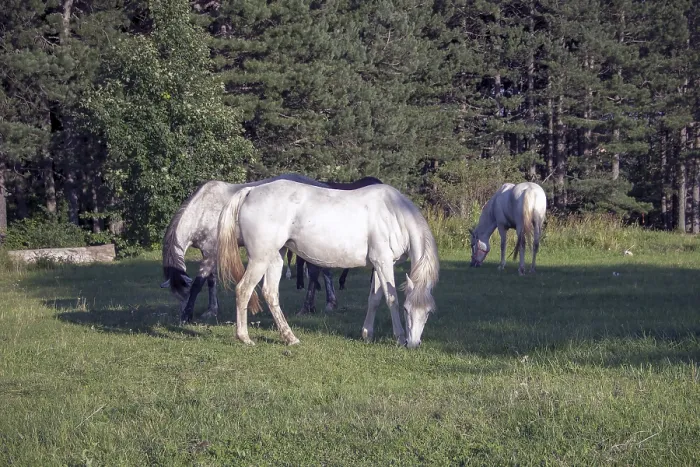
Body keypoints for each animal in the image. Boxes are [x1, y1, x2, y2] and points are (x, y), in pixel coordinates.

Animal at [161, 173, 338, 323]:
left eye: (185, 294)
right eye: (176, 296)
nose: (181, 313)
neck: (203, 210)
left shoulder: (210, 254)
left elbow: (198, 284)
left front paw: (188, 316)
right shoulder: (209, 253)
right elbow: (212, 281)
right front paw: (212, 310)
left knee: (319, 272)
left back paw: (317, 305)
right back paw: (316, 305)